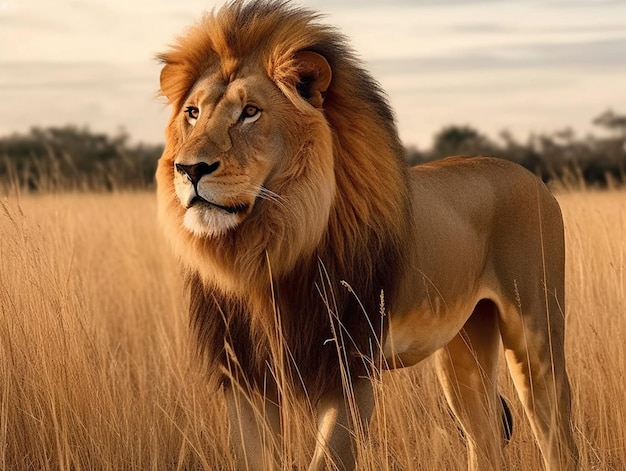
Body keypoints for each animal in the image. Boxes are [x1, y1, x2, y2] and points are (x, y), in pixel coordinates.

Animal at [155, 1, 576, 470]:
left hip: (536, 333)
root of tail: (536, 180)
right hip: (463, 346)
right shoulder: (245, 374)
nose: (189, 169)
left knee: (555, 432)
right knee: (483, 435)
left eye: (250, 112)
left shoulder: (349, 366)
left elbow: (327, 459)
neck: (265, 253)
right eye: (193, 113)